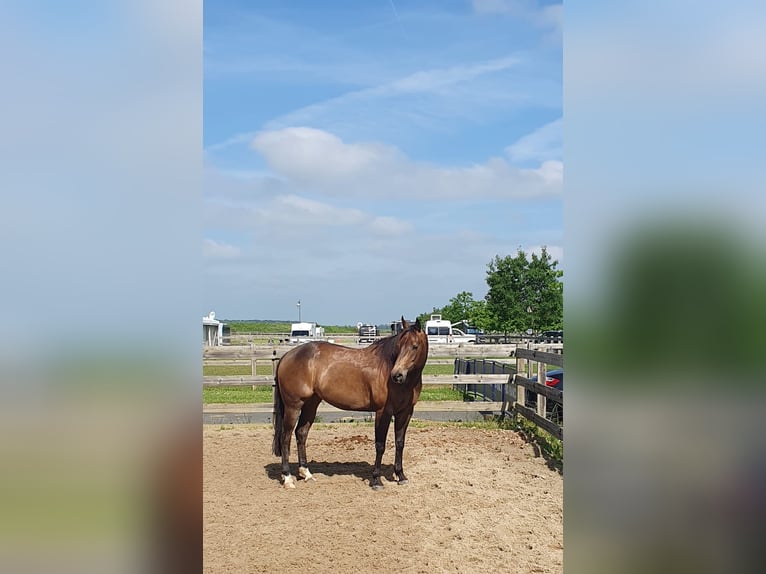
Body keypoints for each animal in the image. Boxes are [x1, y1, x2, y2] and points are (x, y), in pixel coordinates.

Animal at [272, 317, 428, 490]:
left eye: (414, 346)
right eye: (399, 346)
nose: (397, 375)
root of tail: (287, 356)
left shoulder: (405, 413)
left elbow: (400, 443)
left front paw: (401, 476)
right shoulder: (383, 412)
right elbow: (380, 445)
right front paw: (376, 480)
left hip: (311, 404)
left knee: (301, 433)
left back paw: (306, 474)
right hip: (293, 406)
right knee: (285, 438)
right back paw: (287, 478)